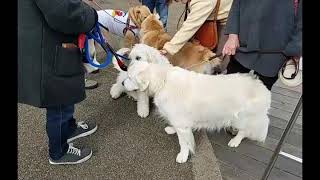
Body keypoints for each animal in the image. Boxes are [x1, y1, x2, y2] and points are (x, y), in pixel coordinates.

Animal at [124, 59, 272, 163]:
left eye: (130, 78)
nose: (122, 83)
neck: (163, 81)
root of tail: (262, 88)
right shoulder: (179, 121)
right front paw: (172, 129)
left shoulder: (182, 124)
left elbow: (183, 143)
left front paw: (183, 156)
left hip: (241, 118)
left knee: (244, 131)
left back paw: (235, 141)